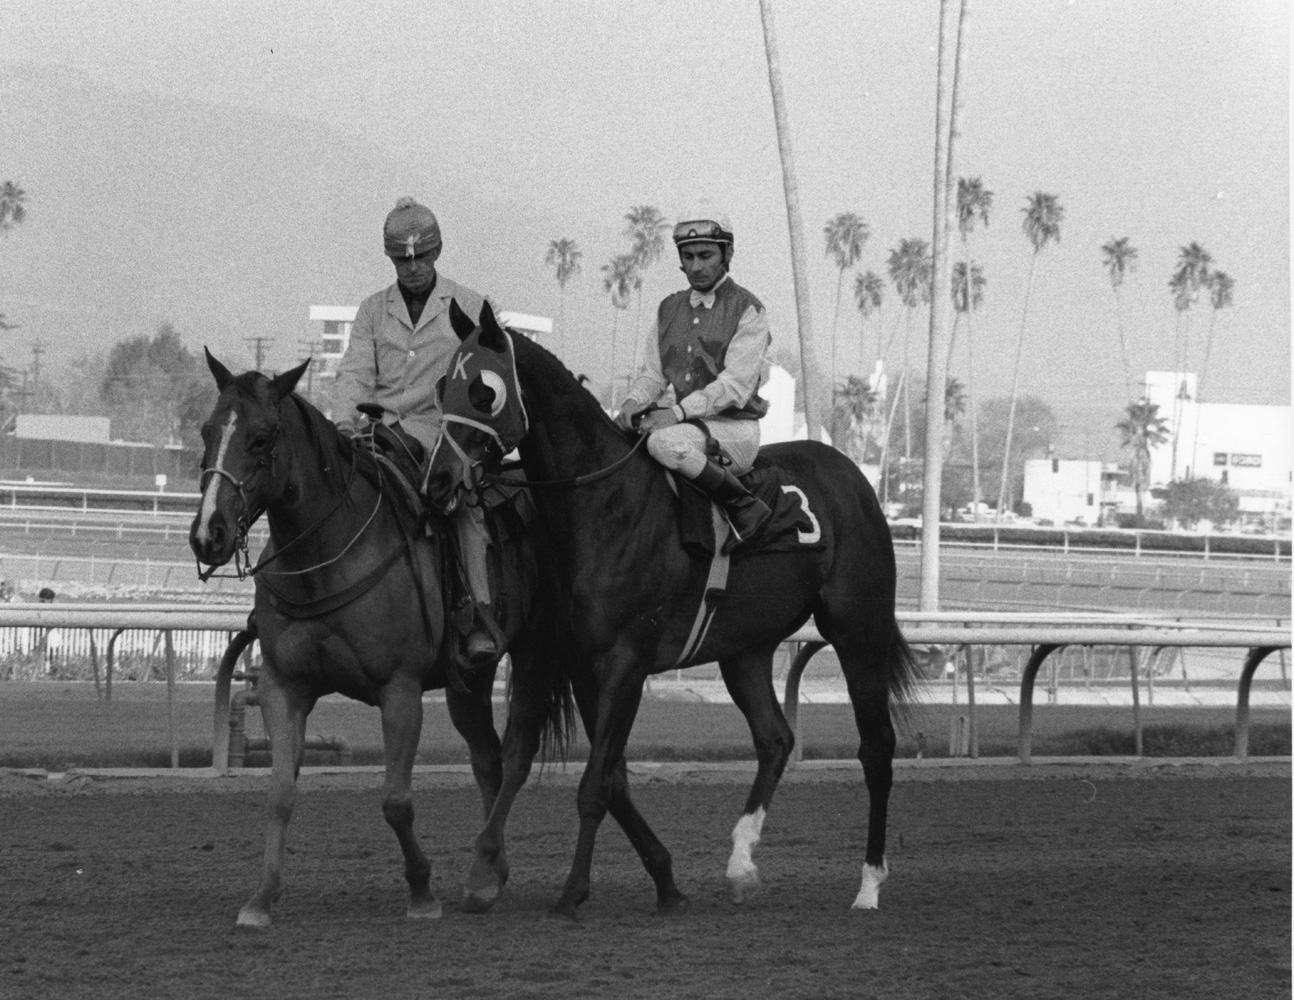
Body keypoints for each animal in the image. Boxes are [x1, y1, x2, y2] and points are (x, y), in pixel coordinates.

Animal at [424, 302, 921, 921]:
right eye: (441, 386)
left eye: (483, 391)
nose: (438, 481)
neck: (604, 506)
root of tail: (855, 477)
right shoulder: (575, 660)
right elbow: (590, 770)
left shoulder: (626, 661)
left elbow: (596, 782)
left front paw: (571, 892)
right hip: (745, 649)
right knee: (775, 740)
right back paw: (740, 867)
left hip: (859, 632)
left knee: (876, 747)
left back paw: (869, 885)